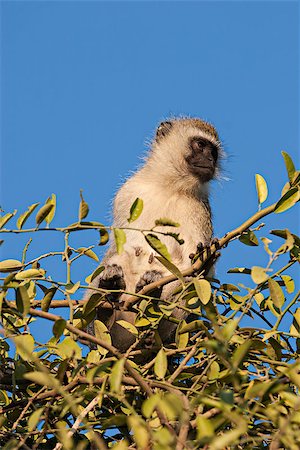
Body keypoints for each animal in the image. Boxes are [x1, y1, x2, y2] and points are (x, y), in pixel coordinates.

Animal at [85, 118, 221, 354]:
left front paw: (204, 261)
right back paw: (106, 308)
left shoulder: (199, 210)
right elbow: (113, 251)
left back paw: (152, 306)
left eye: (214, 152)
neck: (169, 186)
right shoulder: (128, 192)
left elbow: (194, 271)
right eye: (200, 145)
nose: (211, 161)